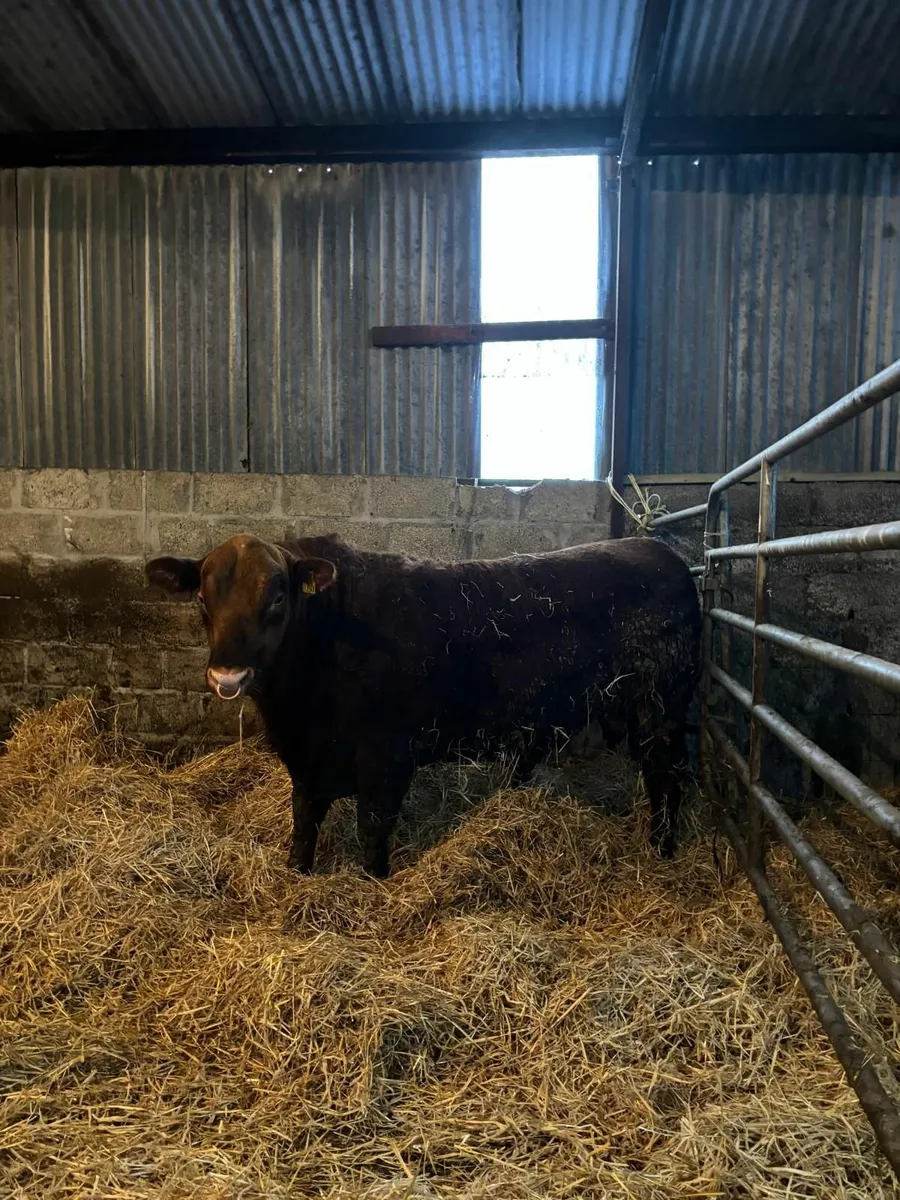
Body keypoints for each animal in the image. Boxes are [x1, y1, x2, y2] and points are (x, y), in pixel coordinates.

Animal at [145, 533, 701, 878]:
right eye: (203, 599)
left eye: (278, 597)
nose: (228, 676)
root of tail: (658, 549)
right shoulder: (307, 760)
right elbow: (304, 820)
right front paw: (296, 871)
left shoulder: (386, 755)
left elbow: (373, 825)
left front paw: (371, 882)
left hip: (662, 710)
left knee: (665, 778)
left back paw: (661, 850)